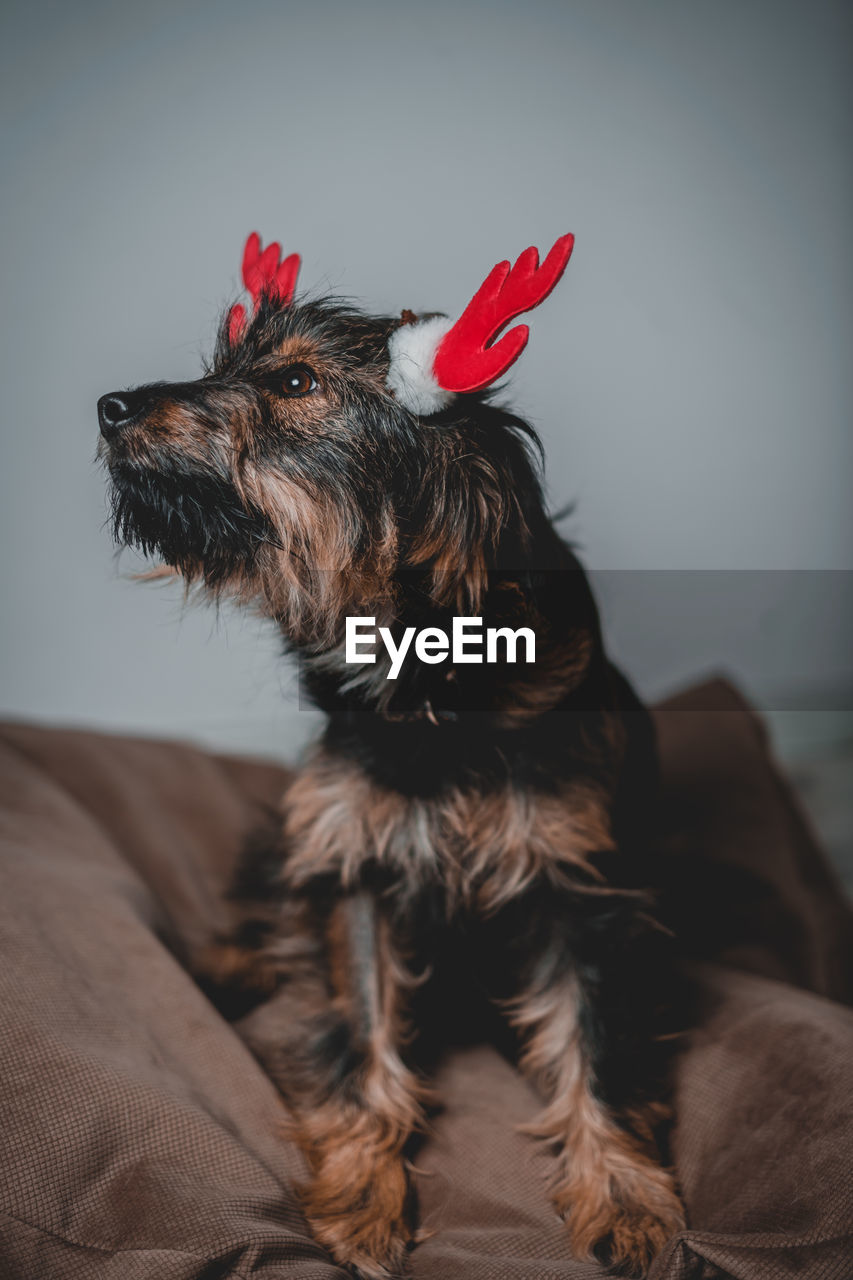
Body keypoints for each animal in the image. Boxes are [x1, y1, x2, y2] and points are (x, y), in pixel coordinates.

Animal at [97, 232, 686, 1280]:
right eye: (222, 365)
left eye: (295, 381)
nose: (110, 406)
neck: (428, 693)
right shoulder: (353, 864)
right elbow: (360, 1034)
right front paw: (362, 1194)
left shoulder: (583, 885)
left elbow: (597, 1046)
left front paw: (623, 1198)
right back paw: (226, 963)